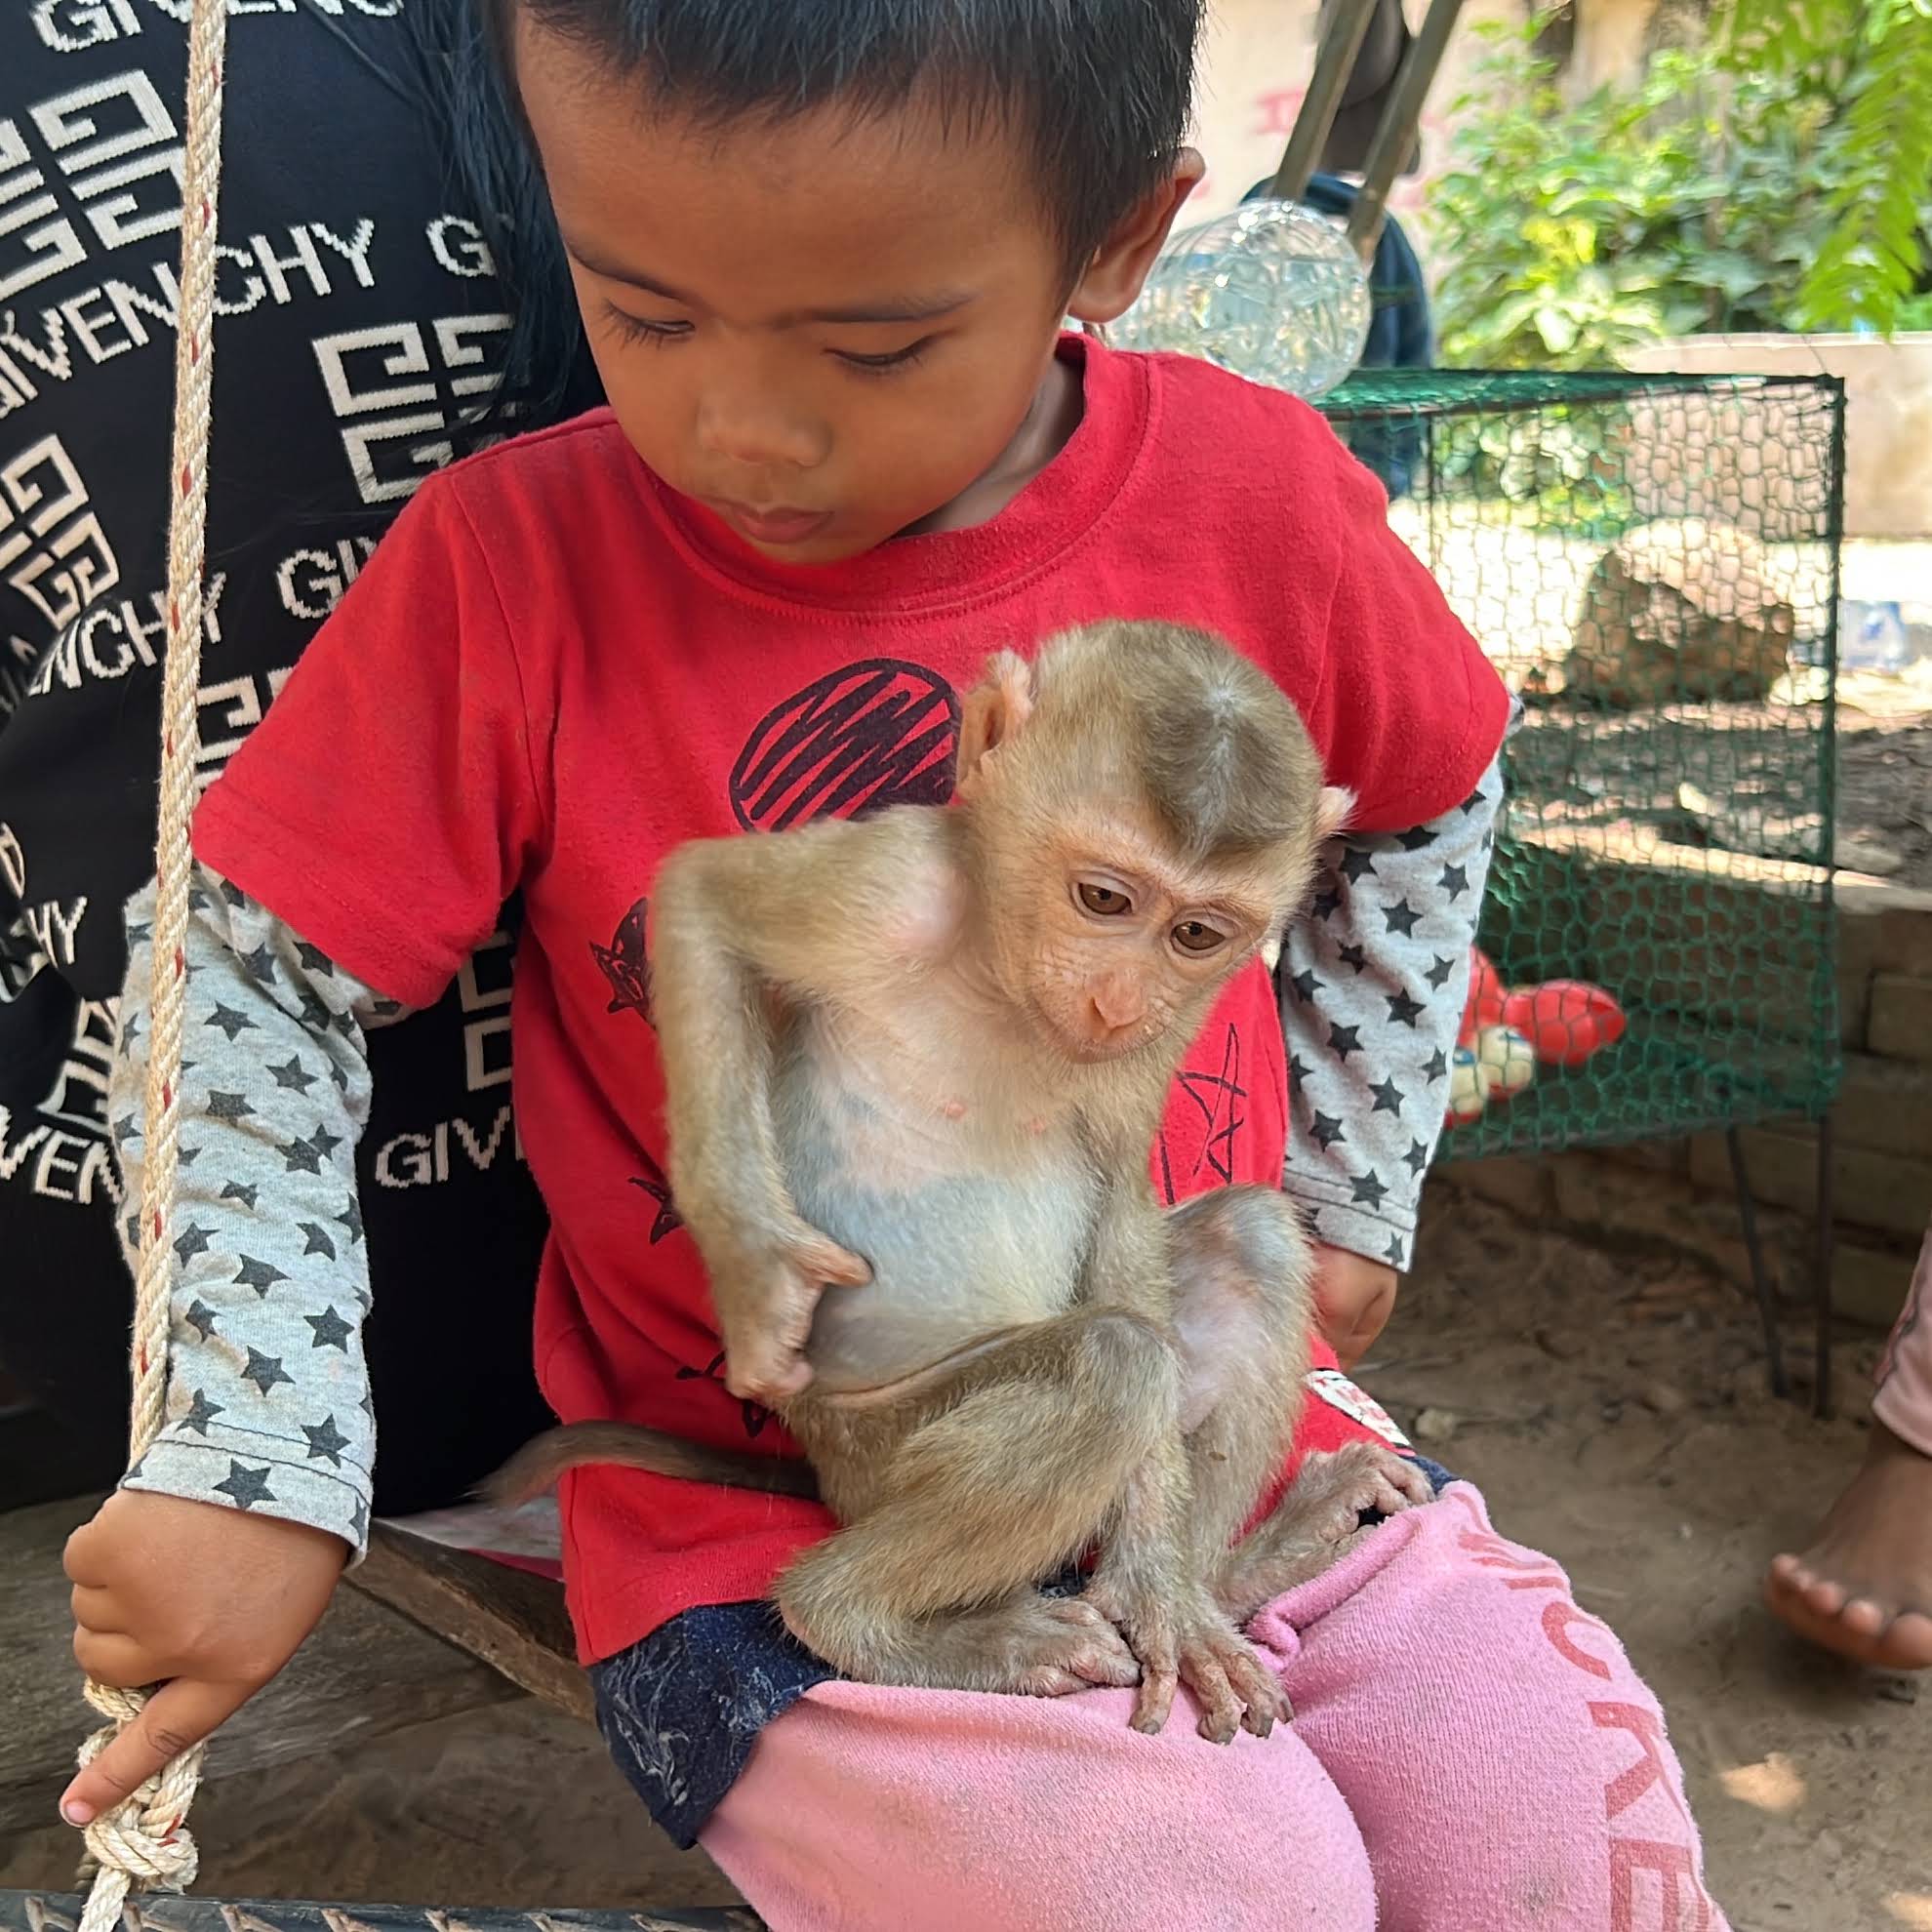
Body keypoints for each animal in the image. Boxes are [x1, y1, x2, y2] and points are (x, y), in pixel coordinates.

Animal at [494, 621, 1434, 1742]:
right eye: (1103, 898)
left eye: (1196, 934)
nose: (1120, 1001)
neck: (999, 962)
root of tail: (827, 1475)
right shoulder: (895, 877)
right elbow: (702, 902)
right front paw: (760, 1276)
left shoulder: (1167, 1032)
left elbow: (1121, 1210)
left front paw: (1162, 1591)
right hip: (880, 1444)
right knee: (1113, 1363)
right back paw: (865, 1619)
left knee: (1235, 1248)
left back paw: (1222, 1582)